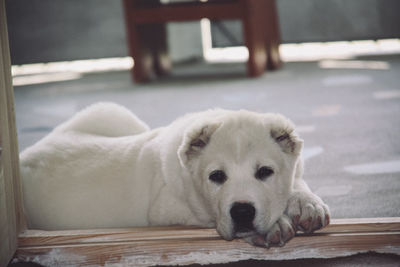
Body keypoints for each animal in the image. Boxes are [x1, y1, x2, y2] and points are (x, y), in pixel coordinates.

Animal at [20, 102, 330, 247]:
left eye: (265, 172)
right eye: (216, 177)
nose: (242, 212)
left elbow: (296, 180)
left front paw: (306, 203)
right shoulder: (168, 211)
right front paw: (275, 226)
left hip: (111, 114)